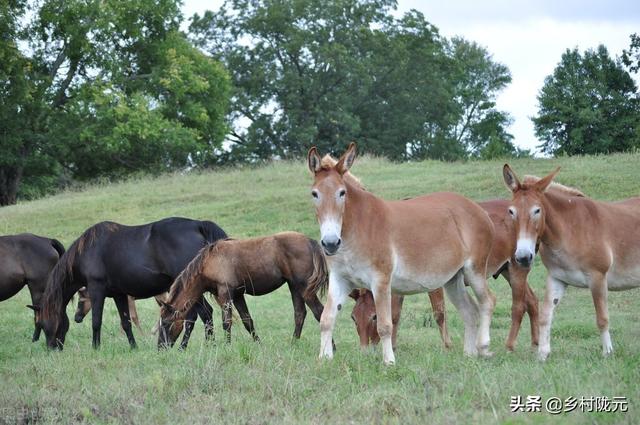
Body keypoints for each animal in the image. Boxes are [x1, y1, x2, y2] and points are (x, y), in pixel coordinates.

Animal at [37, 217, 228, 350]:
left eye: (44, 324)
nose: (52, 348)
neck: (87, 252)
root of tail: (198, 225)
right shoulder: (119, 294)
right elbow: (126, 322)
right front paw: (133, 346)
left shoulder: (96, 290)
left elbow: (96, 321)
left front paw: (95, 348)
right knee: (203, 314)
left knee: (199, 315)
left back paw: (191, 346)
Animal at [159, 232, 328, 348]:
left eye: (166, 323)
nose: (161, 347)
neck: (210, 262)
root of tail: (310, 241)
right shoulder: (238, 296)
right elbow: (248, 321)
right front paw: (259, 345)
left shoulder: (225, 293)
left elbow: (226, 322)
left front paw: (227, 347)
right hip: (294, 286)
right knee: (300, 314)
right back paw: (293, 344)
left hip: (304, 287)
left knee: (319, 312)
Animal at [308, 143, 496, 364]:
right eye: (314, 194)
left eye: (342, 193)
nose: (330, 243)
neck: (358, 228)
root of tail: (478, 210)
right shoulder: (340, 280)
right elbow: (326, 319)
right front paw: (324, 360)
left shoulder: (381, 281)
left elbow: (385, 325)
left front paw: (389, 362)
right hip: (453, 280)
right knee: (469, 312)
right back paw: (469, 354)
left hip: (474, 271)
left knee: (487, 302)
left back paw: (483, 347)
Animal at [502, 164, 640, 360]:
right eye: (511, 211)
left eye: (537, 210)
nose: (523, 257)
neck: (570, 230)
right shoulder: (557, 279)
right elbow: (545, 316)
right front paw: (542, 354)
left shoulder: (597, 278)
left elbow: (602, 318)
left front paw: (607, 353)